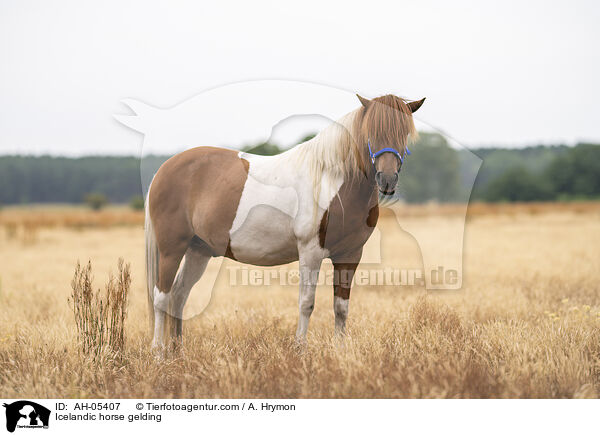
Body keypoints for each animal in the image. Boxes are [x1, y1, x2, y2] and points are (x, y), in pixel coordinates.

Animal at [145, 93, 424, 350]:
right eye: (371, 132)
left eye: (404, 133)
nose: (387, 179)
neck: (333, 180)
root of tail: (163, 170)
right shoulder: (310, 252)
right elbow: (307, 303)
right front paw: (300, 348)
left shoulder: (350, 254)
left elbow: (341, 306)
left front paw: (340, 350)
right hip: (172, 249)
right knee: (161, 297)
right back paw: (158, 352)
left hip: (198, 250)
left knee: (179, 295)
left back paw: (178, 351)